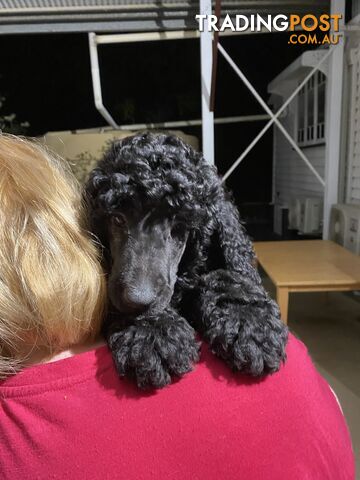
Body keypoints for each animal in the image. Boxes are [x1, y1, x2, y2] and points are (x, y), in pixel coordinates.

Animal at [86, 133, 288, 388]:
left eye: (180, 225)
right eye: (117, 219)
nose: (139, 300)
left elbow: (226, 276)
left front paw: (250, 321)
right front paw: (153, 332)